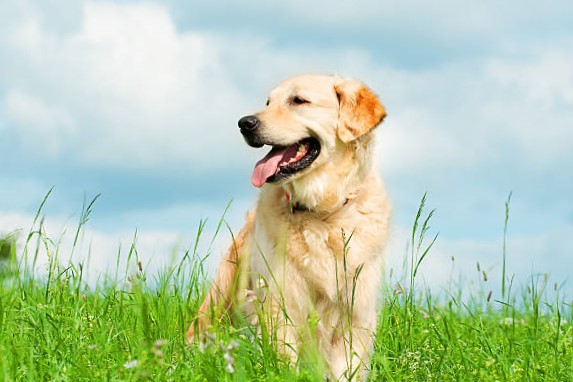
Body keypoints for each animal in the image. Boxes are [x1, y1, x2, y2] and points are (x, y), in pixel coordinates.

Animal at [187, 74, 388, 380]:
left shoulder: (357, 311)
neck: (323, 215)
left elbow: (347, 367)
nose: (245, 123)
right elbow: (285, 358)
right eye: (268, 102)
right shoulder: (280, 303)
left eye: (298, 101)